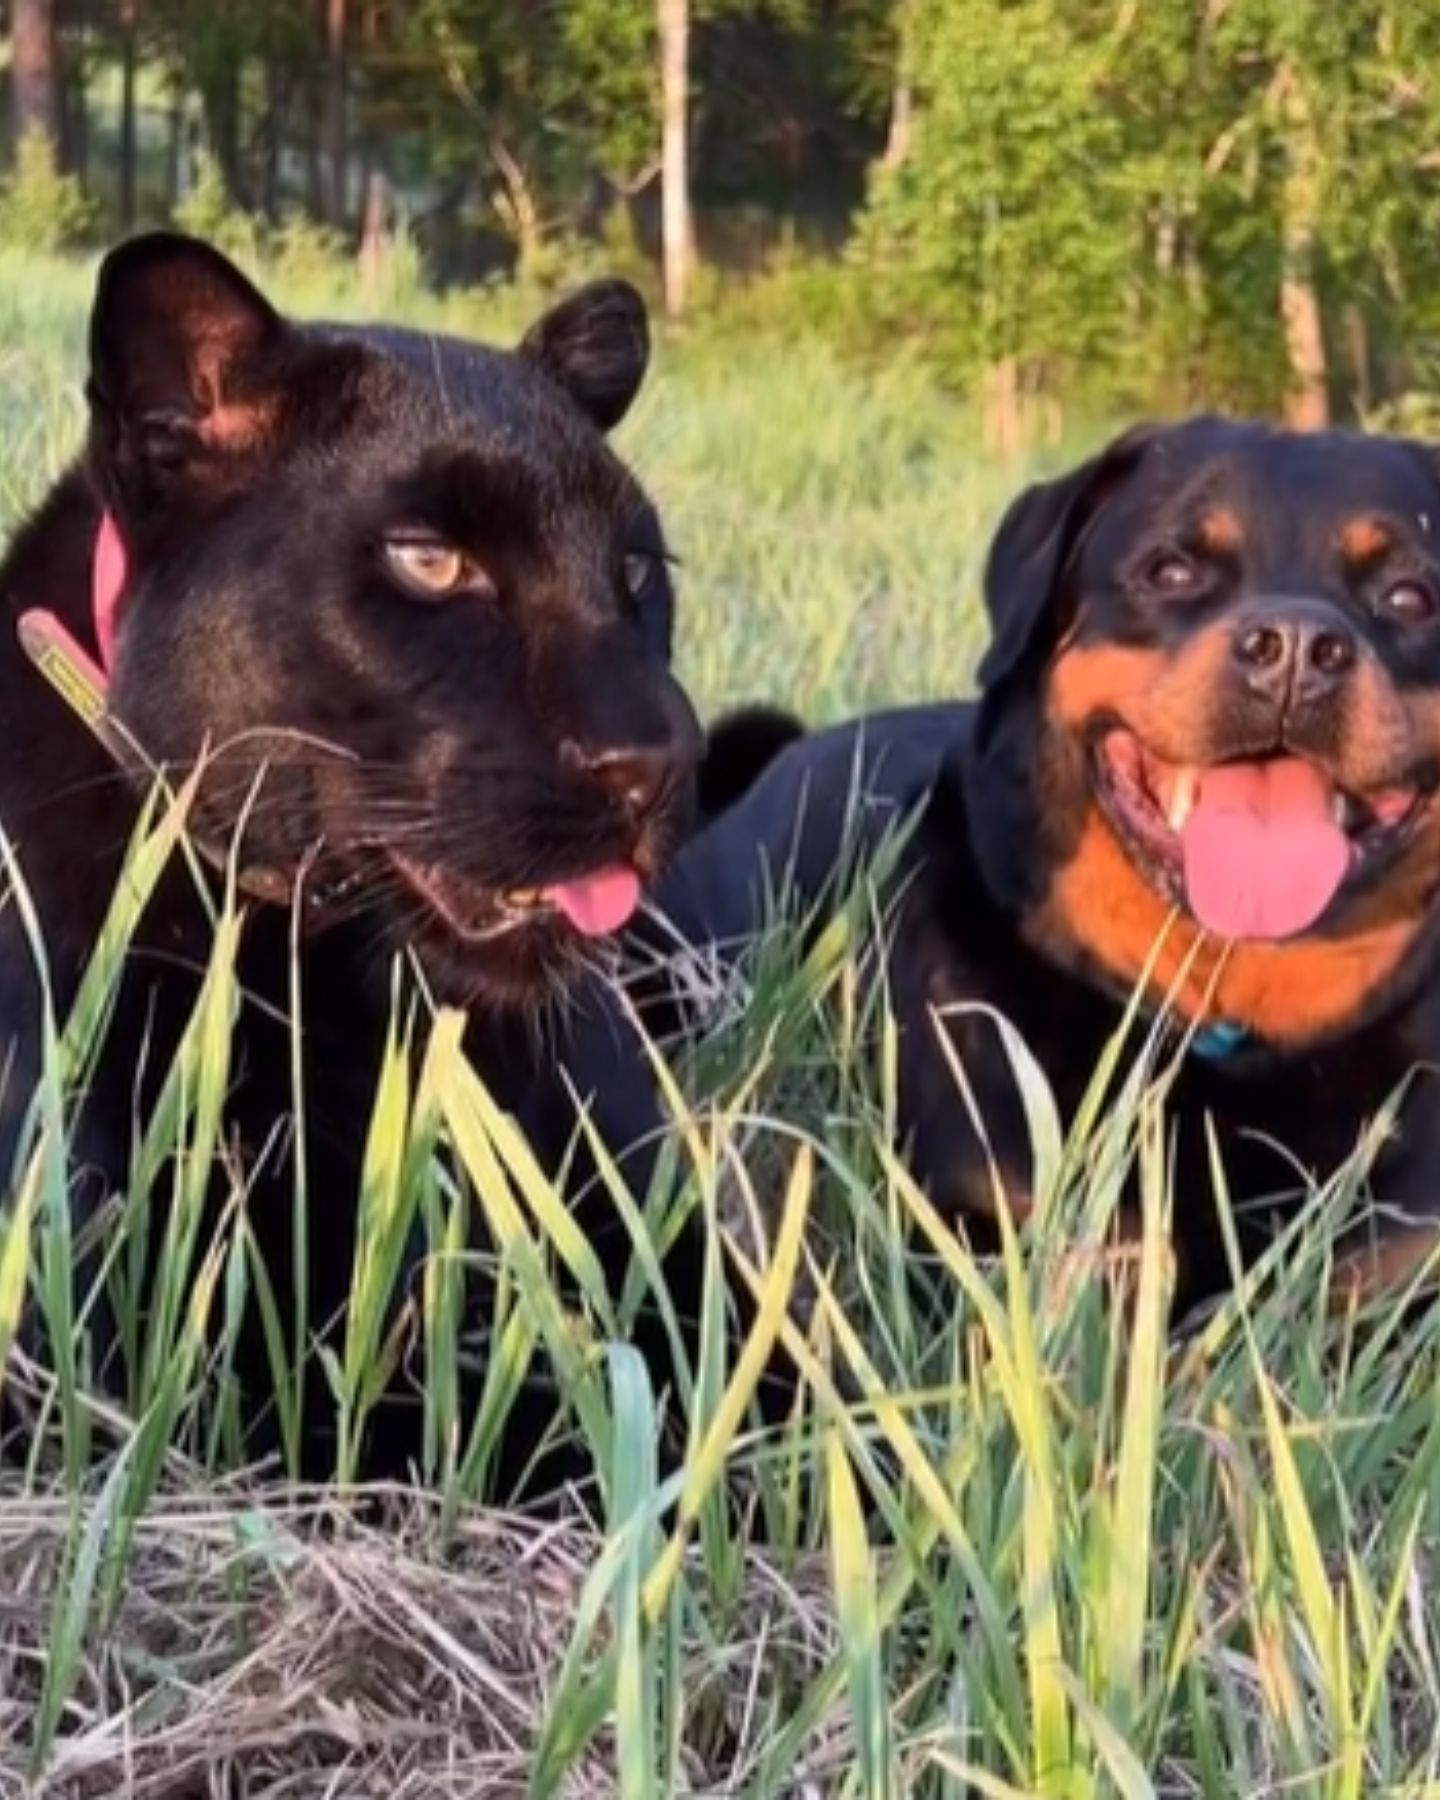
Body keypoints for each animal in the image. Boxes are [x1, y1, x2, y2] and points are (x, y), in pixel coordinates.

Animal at [644, 419, 1440, 1310]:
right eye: (1172, 570)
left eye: (1410, 596)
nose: (1297, 647)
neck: (1225, 1028)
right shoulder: (998, 1213)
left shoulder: (1395, 1265)